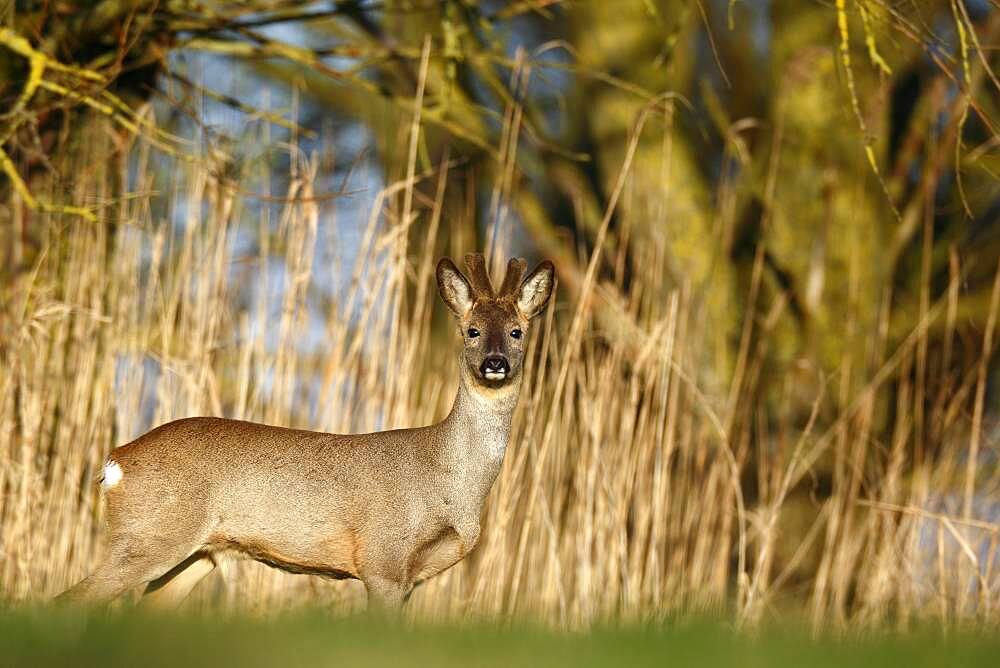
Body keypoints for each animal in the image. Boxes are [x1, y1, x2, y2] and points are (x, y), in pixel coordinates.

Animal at [58, 254, 556, 612]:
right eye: (472, 330)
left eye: (517, 331)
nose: (495, 362)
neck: (449, 479)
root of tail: (115, 462)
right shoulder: (382, 559)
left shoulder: (409, 578)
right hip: (150, 534)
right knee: (70, 600)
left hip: (196, 554)